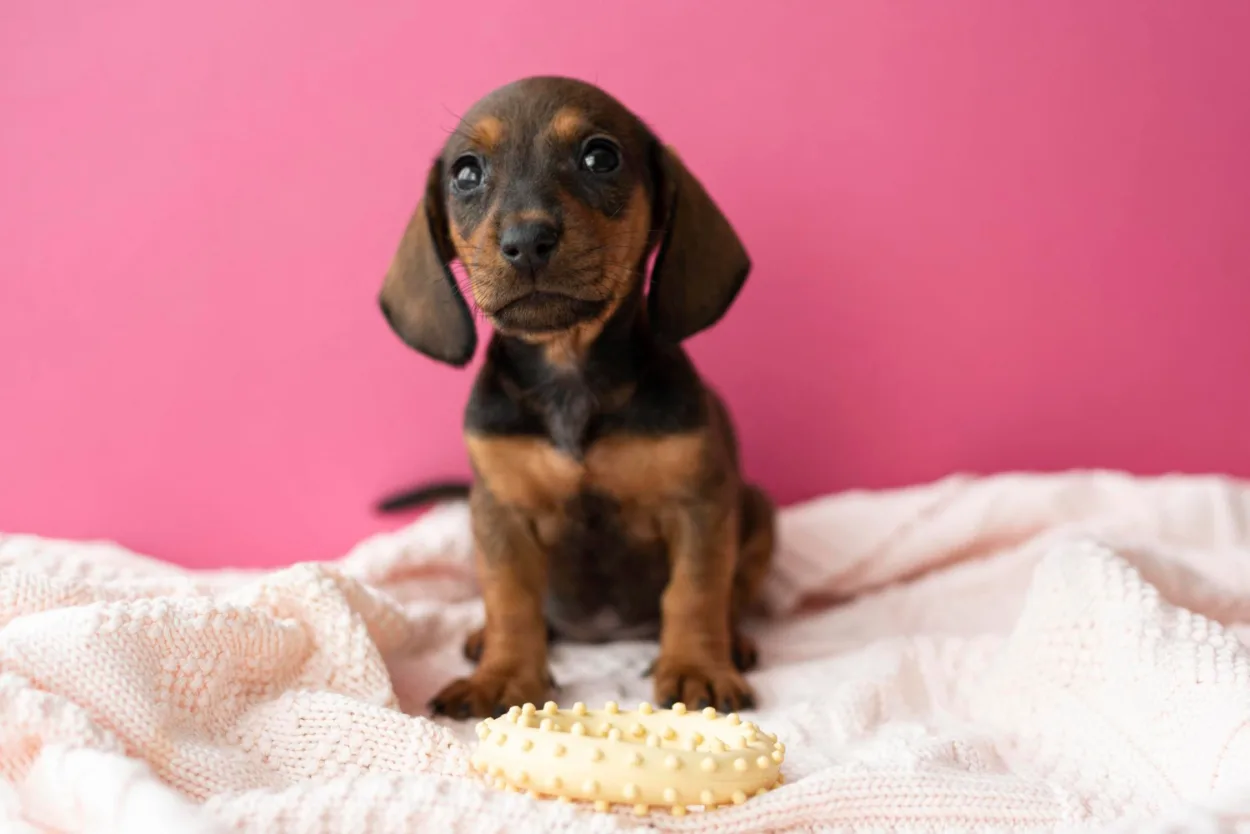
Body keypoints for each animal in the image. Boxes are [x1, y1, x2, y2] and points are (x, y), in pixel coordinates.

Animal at [377, 76, 770, 720]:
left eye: (600, 156)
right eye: (466, 173)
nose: (526, 240)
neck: (568, 374)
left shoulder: (700, 505)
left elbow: (695, 591)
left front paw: (695, 666)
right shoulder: (500, 515)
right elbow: (510, 598)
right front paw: (504, 674)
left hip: (758, 508)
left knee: (735, 589)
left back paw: (732, 640)